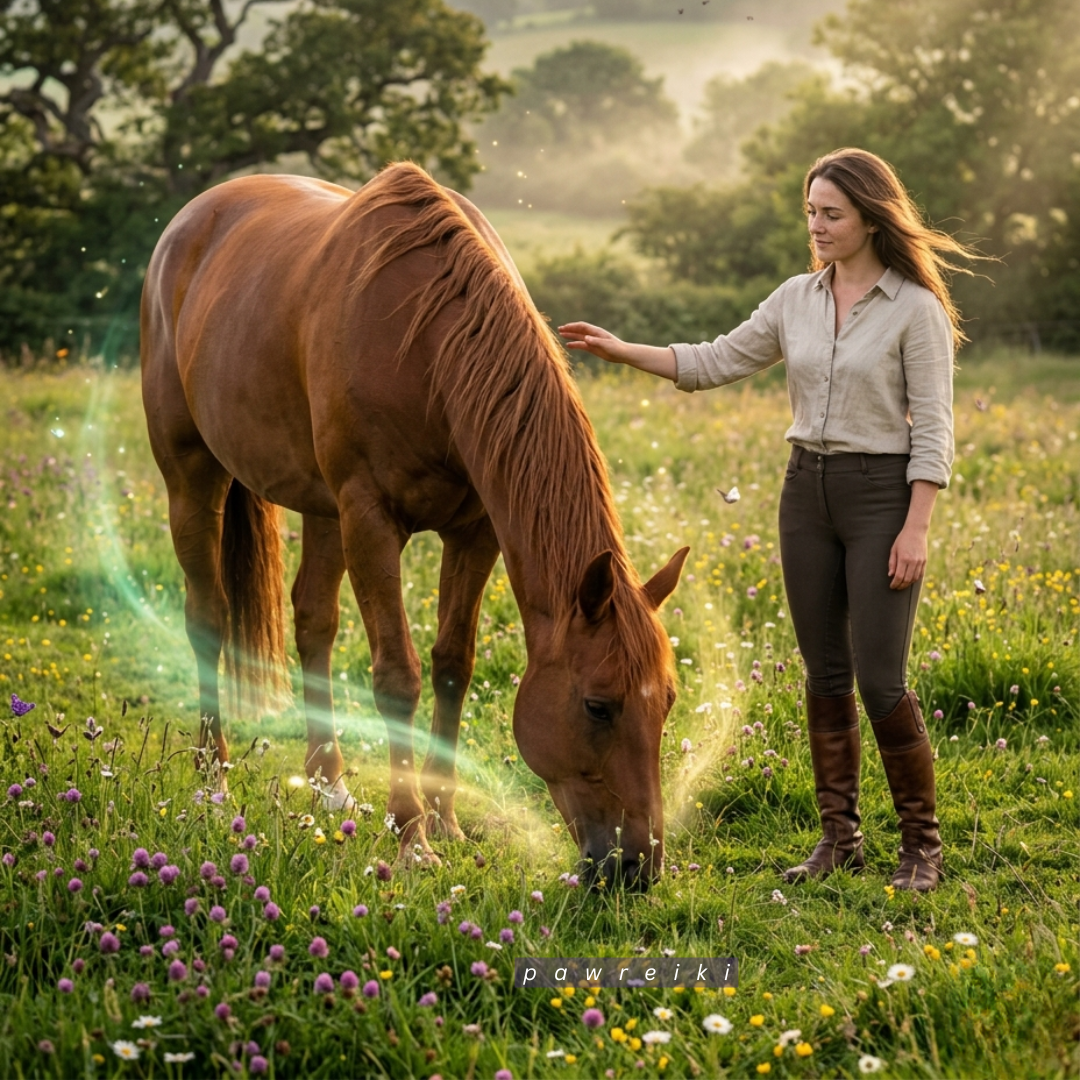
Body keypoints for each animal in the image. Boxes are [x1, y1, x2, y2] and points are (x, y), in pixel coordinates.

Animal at [140, 161, 688, 886]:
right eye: (598, 706)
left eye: (668, 702)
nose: (636, 867)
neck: (426, 347)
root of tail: (191, 220)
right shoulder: (371, 521)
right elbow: (397, 678)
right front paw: (411, 840)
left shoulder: (474, 533)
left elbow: (454, 664)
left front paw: (445, 821)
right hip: (193, 477)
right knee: (207, 617)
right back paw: (213, 783)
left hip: (321, 508)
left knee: (313, 621)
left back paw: (330, 786)